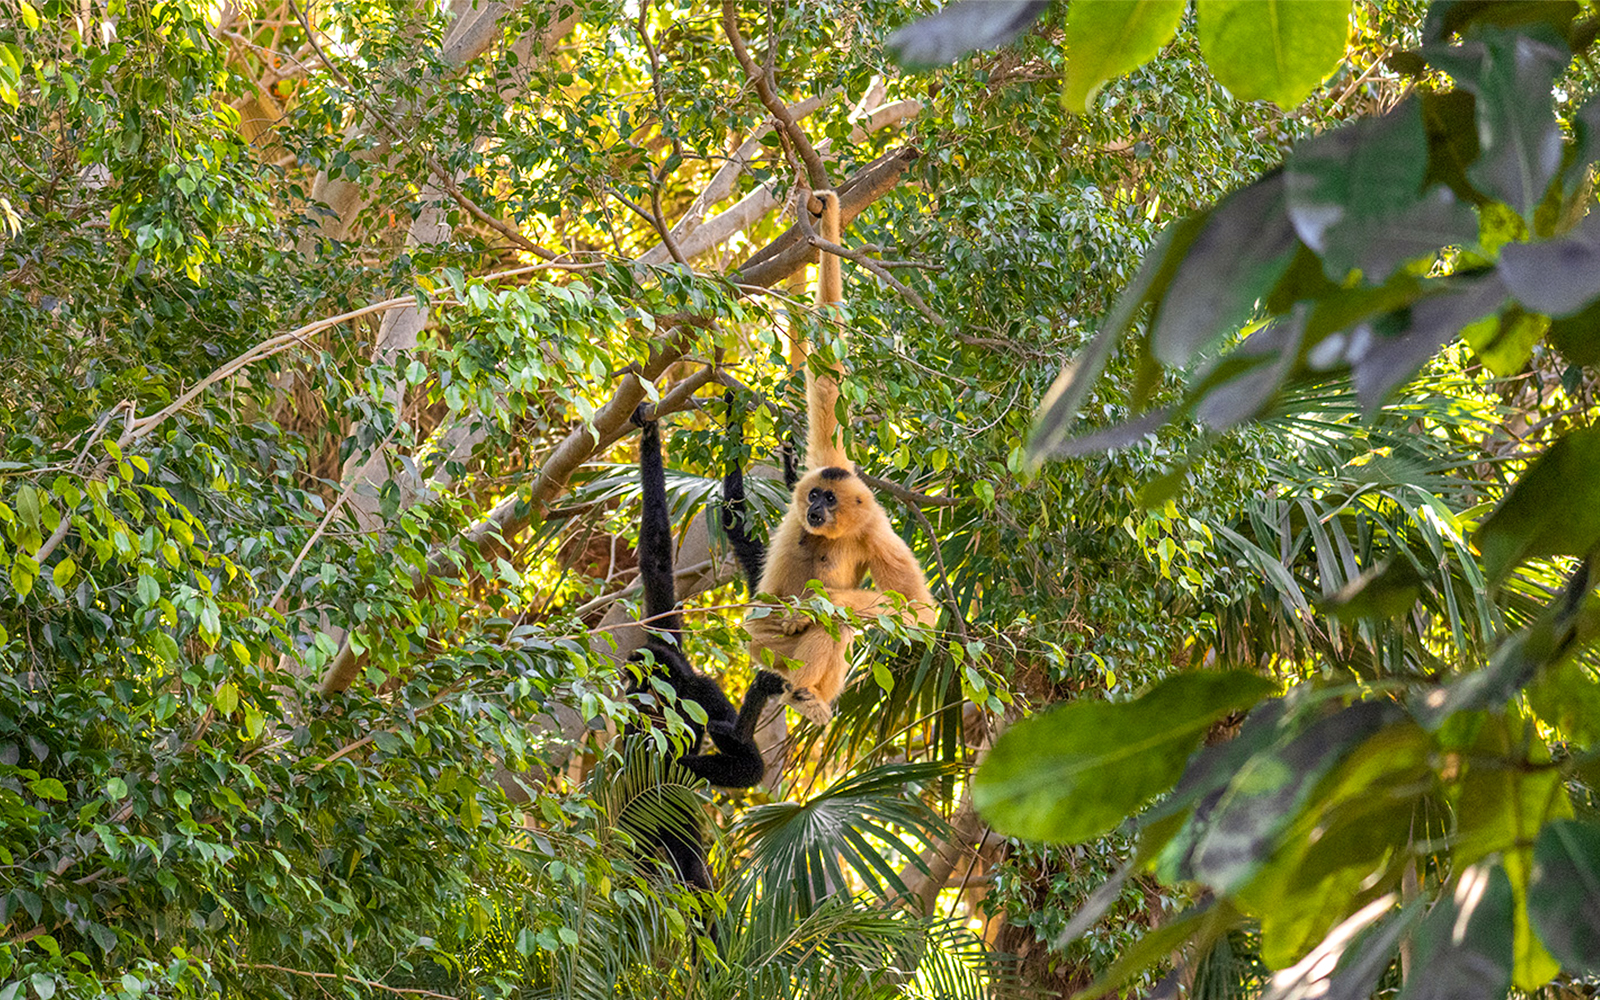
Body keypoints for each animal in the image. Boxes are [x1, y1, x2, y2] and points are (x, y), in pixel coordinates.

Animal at [744, 190, 939, 727]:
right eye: (815, 494)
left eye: (829, 500)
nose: (813, 508)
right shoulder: (824, 460)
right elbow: (827, 372)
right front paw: (827, 216)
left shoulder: (878, 535)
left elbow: (919, 612)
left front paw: (820, 599)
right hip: (761, 642)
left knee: (838, 626)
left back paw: (809, 694)